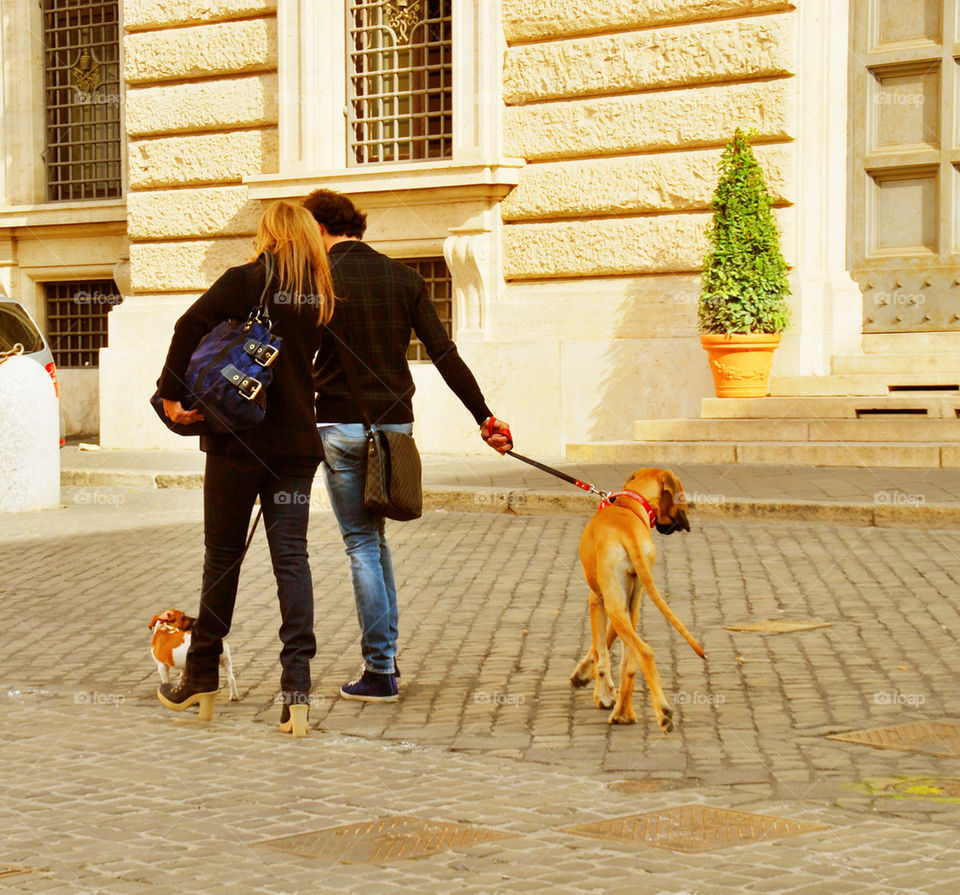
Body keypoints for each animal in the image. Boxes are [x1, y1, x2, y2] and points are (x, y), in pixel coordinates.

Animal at [568, 472, 704, 732]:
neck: (629, 504)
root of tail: (627, 533)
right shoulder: (628, 602)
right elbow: (607, 644)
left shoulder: (597, 600)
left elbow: (600, 652)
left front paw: (601, 692)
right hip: (629, 603)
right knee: (630, 664)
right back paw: (624, 713)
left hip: (614, 603)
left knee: (645, 652)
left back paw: (659, 714)